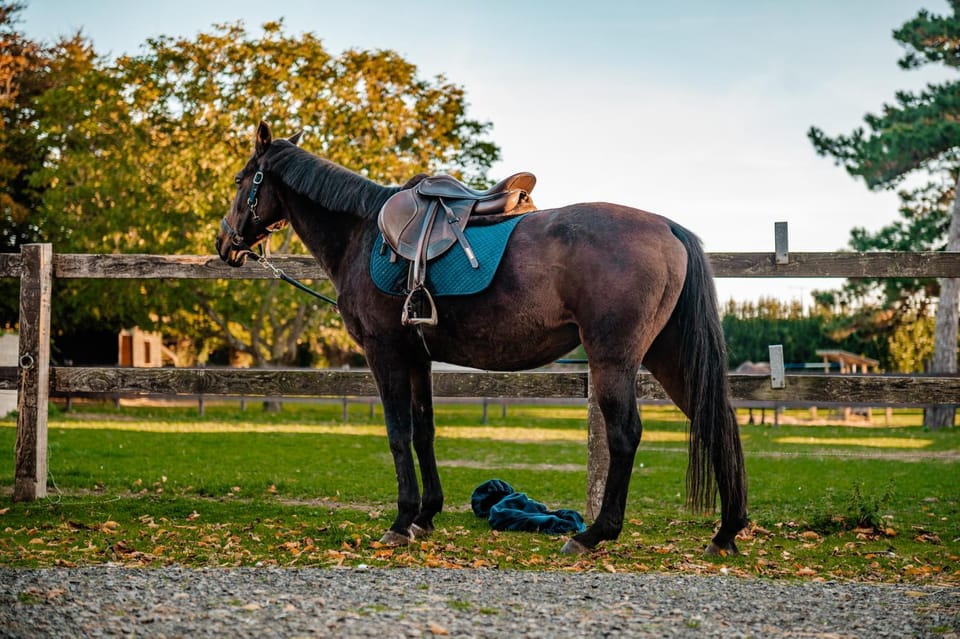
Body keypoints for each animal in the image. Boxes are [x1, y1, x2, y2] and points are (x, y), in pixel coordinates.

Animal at [215, 121, 748, 555]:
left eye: (242, 180)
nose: (224, 244)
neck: (362, 232)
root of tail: (667, 227)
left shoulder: (385, 353)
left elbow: (397, 433)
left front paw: (401, 521)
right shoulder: (418, 358)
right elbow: (424, 432)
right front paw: (426, 515)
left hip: (614, 360)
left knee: (627, 434)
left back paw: (594, 534)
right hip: (669, 357)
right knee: (716, 420)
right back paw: (726, 532)